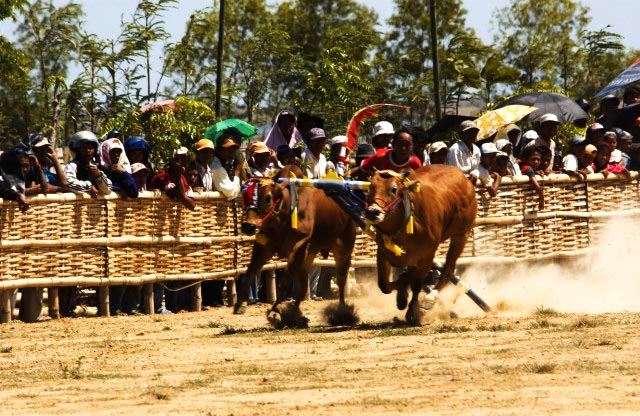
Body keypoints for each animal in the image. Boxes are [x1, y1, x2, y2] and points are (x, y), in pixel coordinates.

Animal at [236, 169, 358, 328]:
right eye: (244, 195)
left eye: (268, 198)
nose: (248, 226)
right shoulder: (264, 247)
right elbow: (251, 271)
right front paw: (240, 303)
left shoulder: (299, 246)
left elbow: (285, 281)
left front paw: (275, 312)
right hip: (310, 254)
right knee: (303, 285)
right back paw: (296, 315)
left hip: (344, 247)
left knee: (341, 280)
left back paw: (342, 312)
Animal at [362, 164, 478, 324]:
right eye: (371, 187)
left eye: (393, 189)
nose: (373, 212)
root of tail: (465, 178)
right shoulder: (384, 251)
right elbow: (384, 285)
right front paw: (402, 295)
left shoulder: (427, 255)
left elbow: (416, 283)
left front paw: (414, 311)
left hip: (461, 235)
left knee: (449, 269)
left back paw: (430, 299)